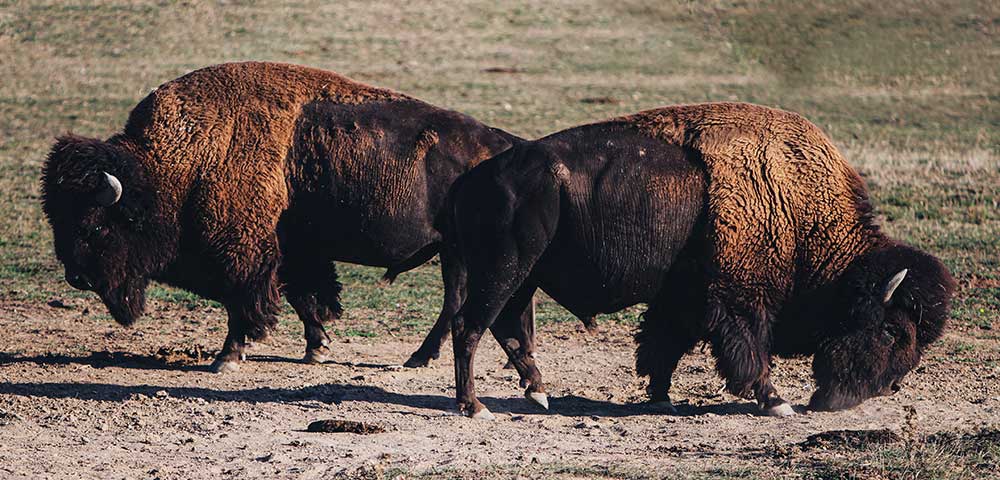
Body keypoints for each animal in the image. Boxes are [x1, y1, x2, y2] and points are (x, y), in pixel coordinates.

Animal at [41, 61, 529, 372]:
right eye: (57, 219)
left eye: (96, 225)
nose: (77, 278)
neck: (182, 162)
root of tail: (507, 144)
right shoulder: (293, 249)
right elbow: (303, 297)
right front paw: (317, 348)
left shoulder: (245, 253)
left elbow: (245, 302)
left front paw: (226, 358)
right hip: (455, 252)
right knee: (461, 299)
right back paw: (433, 357)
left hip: (459, 251)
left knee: (456, 301)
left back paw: (422, 357)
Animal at [446, 102, 955, 419]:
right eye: (891, 330)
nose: (885, 388)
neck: (797, 208)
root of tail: (475, 177)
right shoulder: (738, 299)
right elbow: (749, 351)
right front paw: (776, 402)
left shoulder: (684, 297)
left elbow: (663, 344)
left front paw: (661, 398)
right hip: (505, 270)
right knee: (469, 326)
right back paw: (475, 407)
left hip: (524, 277)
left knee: (506, 327)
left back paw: (538, 393)